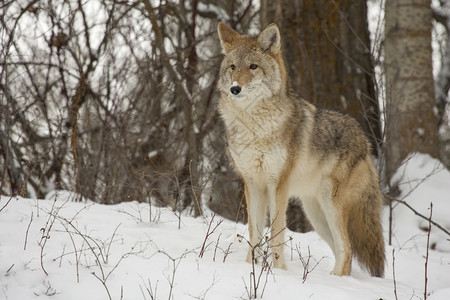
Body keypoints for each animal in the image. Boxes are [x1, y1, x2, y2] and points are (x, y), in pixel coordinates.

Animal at [216, 22, 384, 278]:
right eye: (233, 67)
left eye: (253, 66)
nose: (235, 88)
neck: (254, 125)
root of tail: (366, 143)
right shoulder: (252, 184)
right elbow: (255, 234)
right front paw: (250, 268)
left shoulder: (278, 185)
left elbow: (276, 234)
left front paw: (278, 272)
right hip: (315, 214)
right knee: (342, 251)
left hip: (330, 205)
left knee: (346, 249)